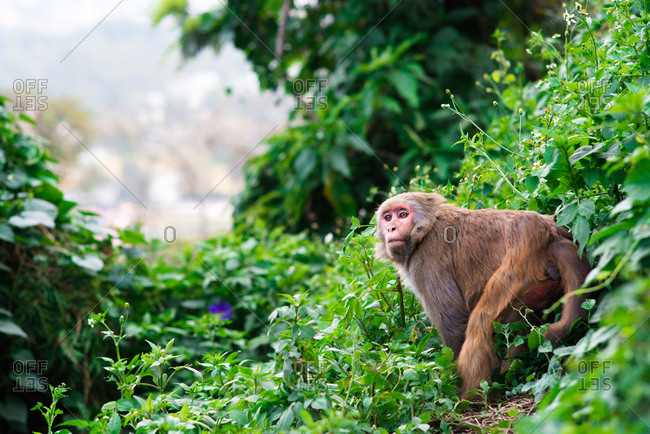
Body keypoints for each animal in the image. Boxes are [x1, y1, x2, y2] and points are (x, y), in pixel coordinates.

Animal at [374, 192, 591, 399]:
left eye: (403, 215)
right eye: (388, 217)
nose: (392, 228)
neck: (426, 229)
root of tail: (549, 235)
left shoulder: (426, 260)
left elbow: (454, 324)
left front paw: (450, 381)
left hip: (518, 273)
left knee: (480, 321)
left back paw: (471, 397)